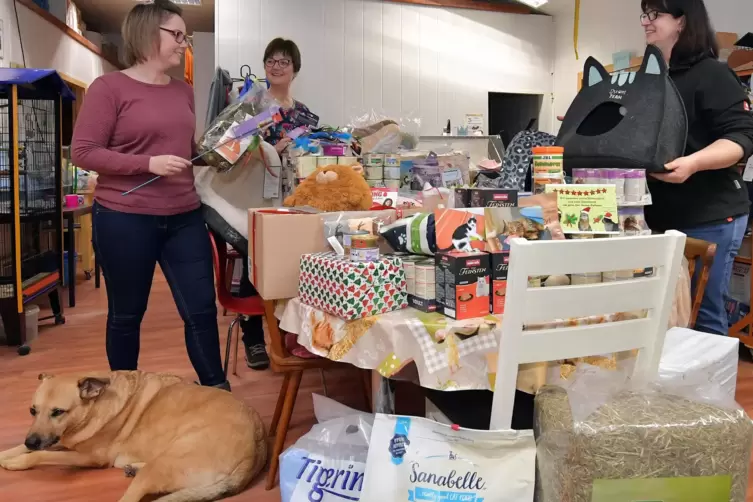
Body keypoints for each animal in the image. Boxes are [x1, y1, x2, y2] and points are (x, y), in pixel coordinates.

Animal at [0, 370, 268, 500]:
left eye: (58, 412)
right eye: (32, 410)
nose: (31, 440)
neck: (97, 404)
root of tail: (257, 449)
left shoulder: (89, 458)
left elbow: (38, 455)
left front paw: (17, 462)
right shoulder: (57, 439)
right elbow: (27, 447)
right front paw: (7, 454)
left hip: (164, 464)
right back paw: (133, 467)